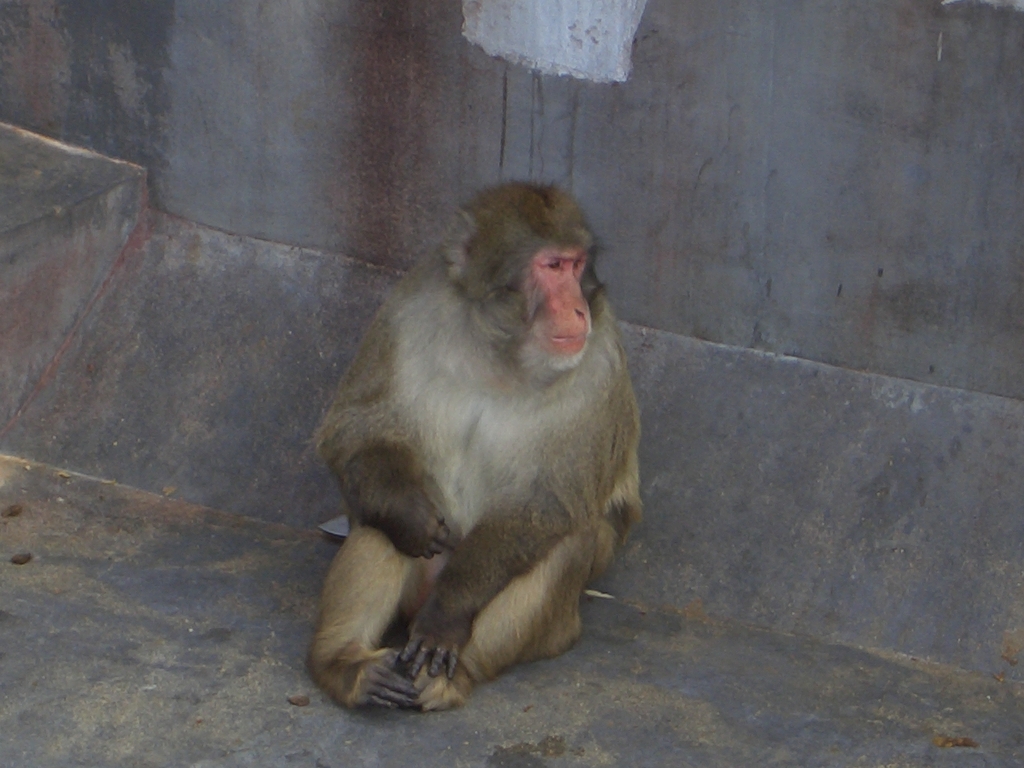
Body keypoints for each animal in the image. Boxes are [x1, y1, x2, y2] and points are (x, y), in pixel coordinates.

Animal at [305, 180, 638, 708]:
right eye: (552, 266)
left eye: (576, 265)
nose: (577, 308)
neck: (501, 349)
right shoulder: (410, 305)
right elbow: (354, 431)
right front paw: (409, 513)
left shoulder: (600, 360)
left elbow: (544, 504)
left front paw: (446, 615)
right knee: (378, 517)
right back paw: (345, 664)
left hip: (553, 627)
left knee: (568, 541)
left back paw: (456, 675)